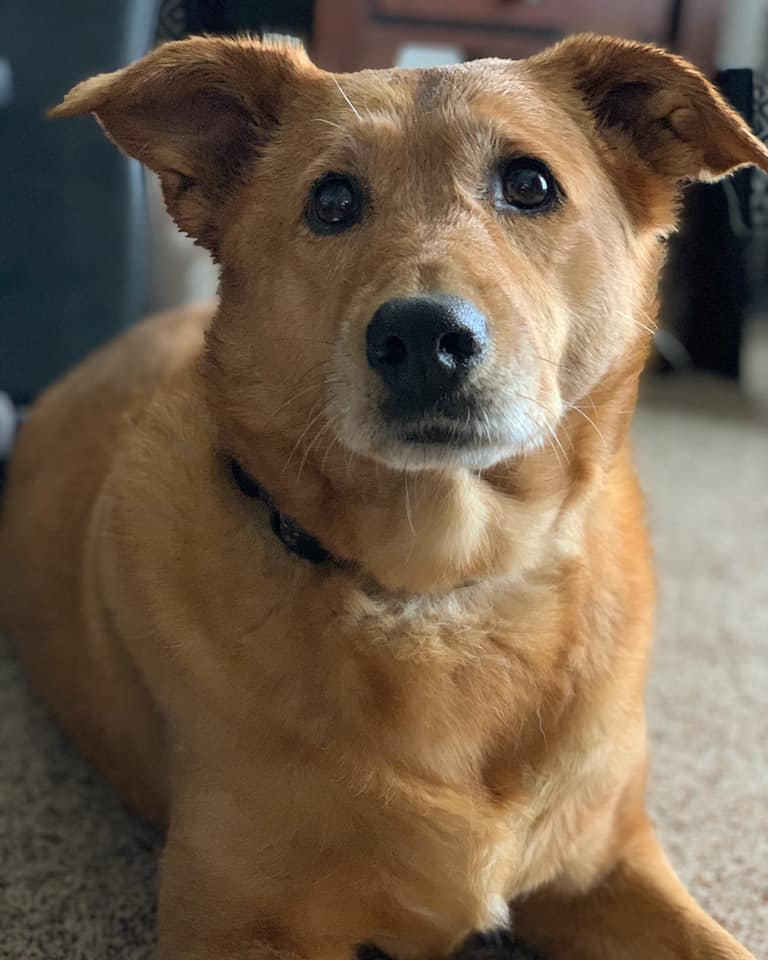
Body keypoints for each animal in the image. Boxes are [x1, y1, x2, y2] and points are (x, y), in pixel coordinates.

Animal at [3, 30, 764, 960]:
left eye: (530, 184)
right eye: (332, 201)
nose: (422, 338)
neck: (438, 588)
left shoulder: (608, 862)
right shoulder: (229, 925)